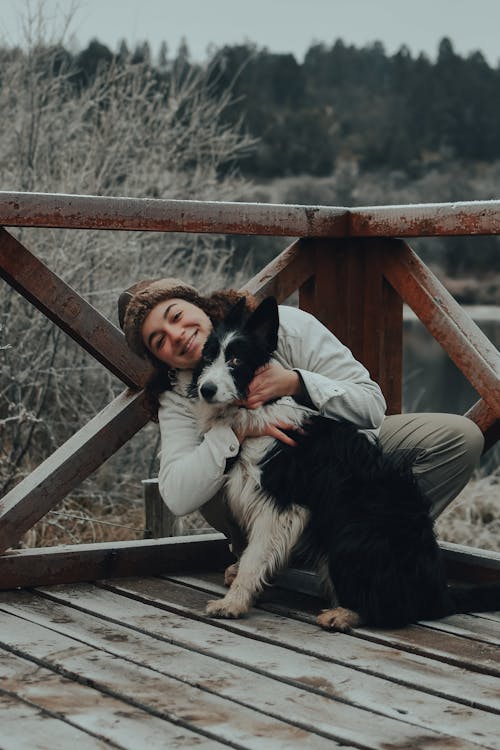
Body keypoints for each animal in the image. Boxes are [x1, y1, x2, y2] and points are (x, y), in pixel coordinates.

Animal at [184, 296, 500, 632]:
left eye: (236, 361)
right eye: (208, 355)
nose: (206, 389)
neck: (257, 410)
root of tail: (439, 593)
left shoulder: (281, 506)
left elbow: (255, 557)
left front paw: (232, 603)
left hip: (353, 533)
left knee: (394, 610)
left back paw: (345, 613)